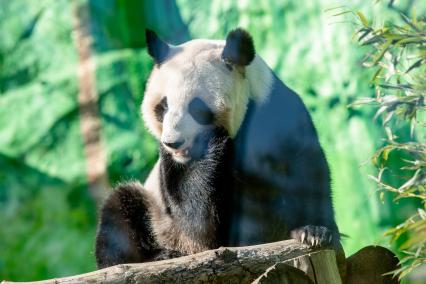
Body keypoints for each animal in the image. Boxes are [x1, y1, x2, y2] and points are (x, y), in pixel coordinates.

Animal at [95, 28, 344, 272]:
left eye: (196, 107)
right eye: (163, 106)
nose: (174, 143)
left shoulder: (279, 115)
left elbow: (305, 172)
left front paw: (314, 231)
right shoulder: (169, 167)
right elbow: (196, 221)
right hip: (156, 213)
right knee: (120, 209)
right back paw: (156, 256)